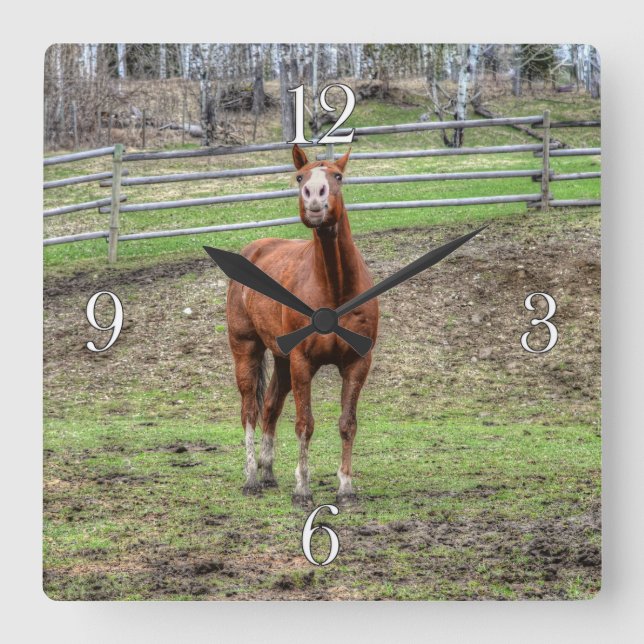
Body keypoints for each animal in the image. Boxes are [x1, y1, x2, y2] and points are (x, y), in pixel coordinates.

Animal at [225, 144, 379, 506]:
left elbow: (347, 423)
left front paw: (346, 488)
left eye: (337, 176)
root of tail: (254, 248)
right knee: (249, 411)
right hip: (247, 350)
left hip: (281, 359)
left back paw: (268, 473)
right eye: (300, 177)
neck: (335, 288)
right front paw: (302, 490)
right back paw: (251, 479)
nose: (314, 197)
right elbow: (304, 424)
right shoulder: (302, 362)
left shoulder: (358, 363)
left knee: (270, 407)